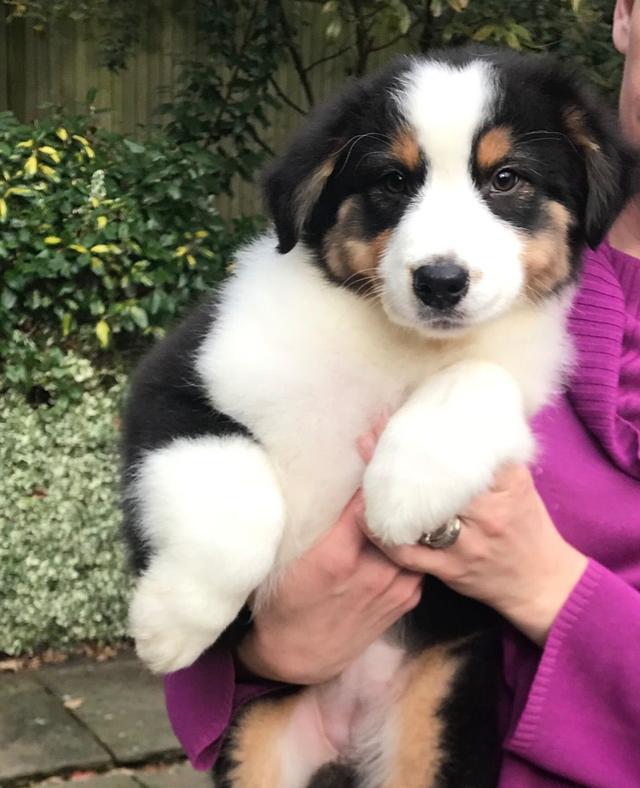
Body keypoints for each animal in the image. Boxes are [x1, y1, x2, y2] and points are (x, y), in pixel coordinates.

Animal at [121, 46, 636, 784]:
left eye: (507, 179)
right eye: (393, 179)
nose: (441, 282)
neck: (397, 343)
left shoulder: (524, 366)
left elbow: (480, 375)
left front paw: (402, 490)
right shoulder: (182, 377)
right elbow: (235, 498)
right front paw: (172, 625)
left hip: (440, 712)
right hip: (259, 742)